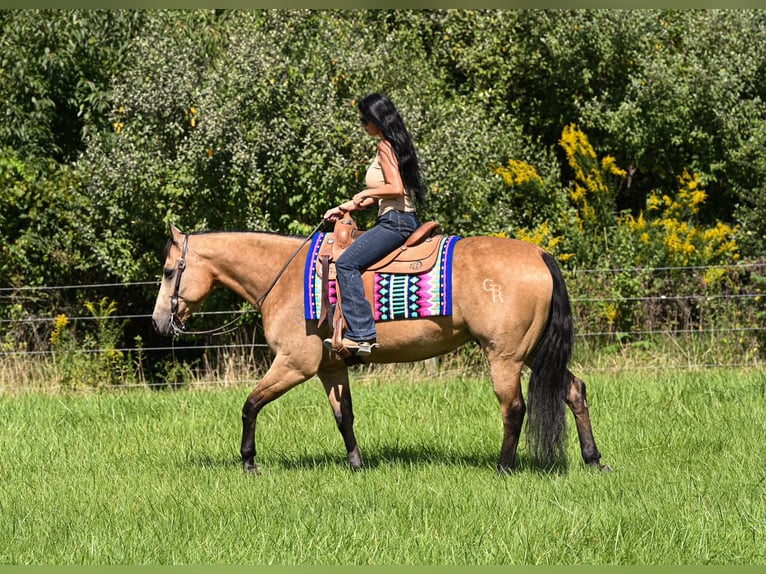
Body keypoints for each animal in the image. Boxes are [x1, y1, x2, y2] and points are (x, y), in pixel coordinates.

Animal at [151, 222, 608, 474]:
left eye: (170, 271)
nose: (158, 322)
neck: (286, 277)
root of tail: (540, 254)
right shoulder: (330, 368)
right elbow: (344, 417)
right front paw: (357, 465)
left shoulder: (295, 364)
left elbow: (250, 405)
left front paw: (248, 461)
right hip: (536, 353)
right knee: (574, 391)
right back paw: (593, 459)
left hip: (506, 357)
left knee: (514, 410)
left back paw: (503, 468)